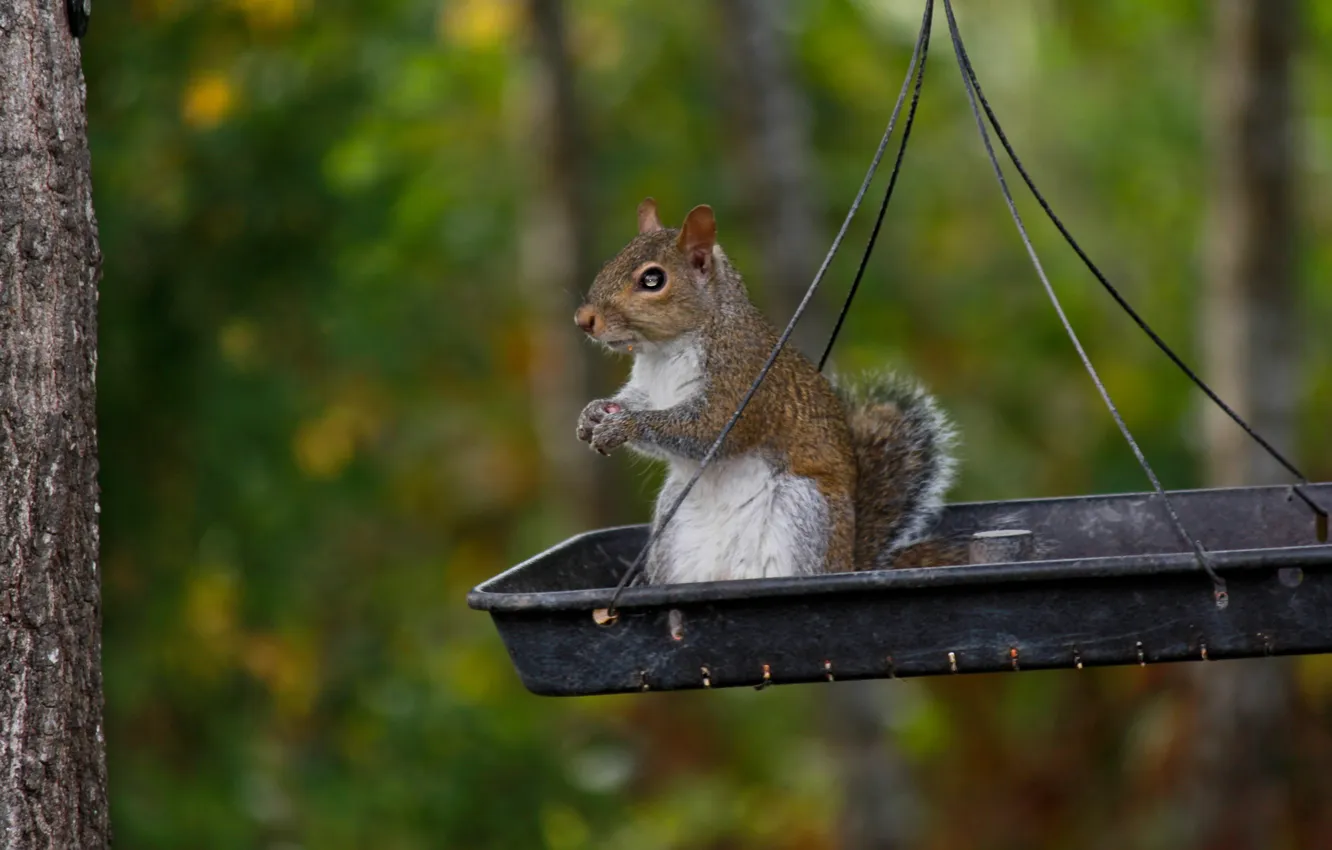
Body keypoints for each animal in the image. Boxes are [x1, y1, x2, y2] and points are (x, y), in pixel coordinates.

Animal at [570, 199, 959, 586]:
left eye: (653, 280)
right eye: (610, 262)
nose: (584, 320)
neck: (664, 352)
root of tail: (847, 563)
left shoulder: (742, 384)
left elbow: (707, 431)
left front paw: (625, 425)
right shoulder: (648, 388)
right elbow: (633, 402)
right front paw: (594, 413)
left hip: (802, 511)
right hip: (673, 523)